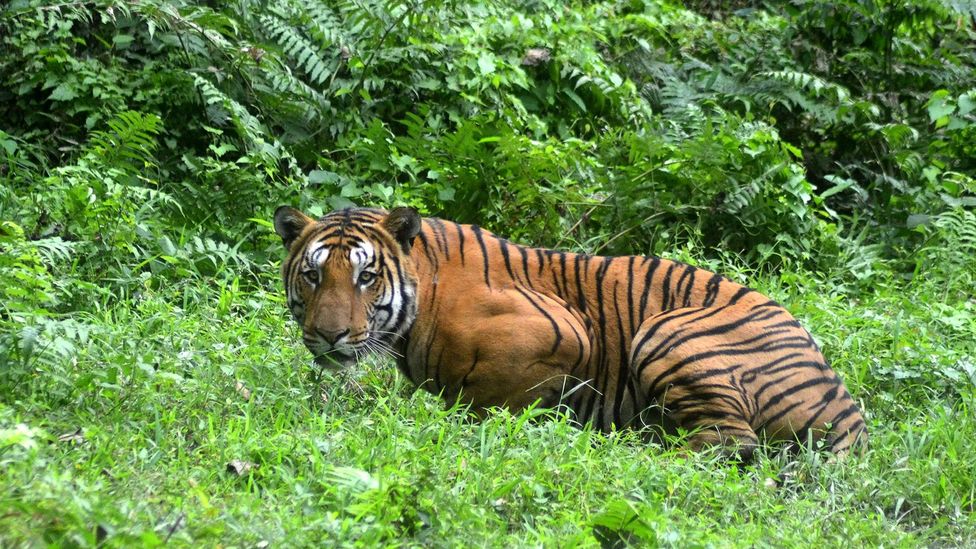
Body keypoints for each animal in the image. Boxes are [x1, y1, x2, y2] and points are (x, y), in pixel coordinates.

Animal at [272, 206, 868, 458]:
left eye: (366, 277)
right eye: (313, 275)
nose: (329, 335)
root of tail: (848, 409)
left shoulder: (563, 331)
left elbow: (488, 399)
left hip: (666, 330)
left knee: (729, 444)